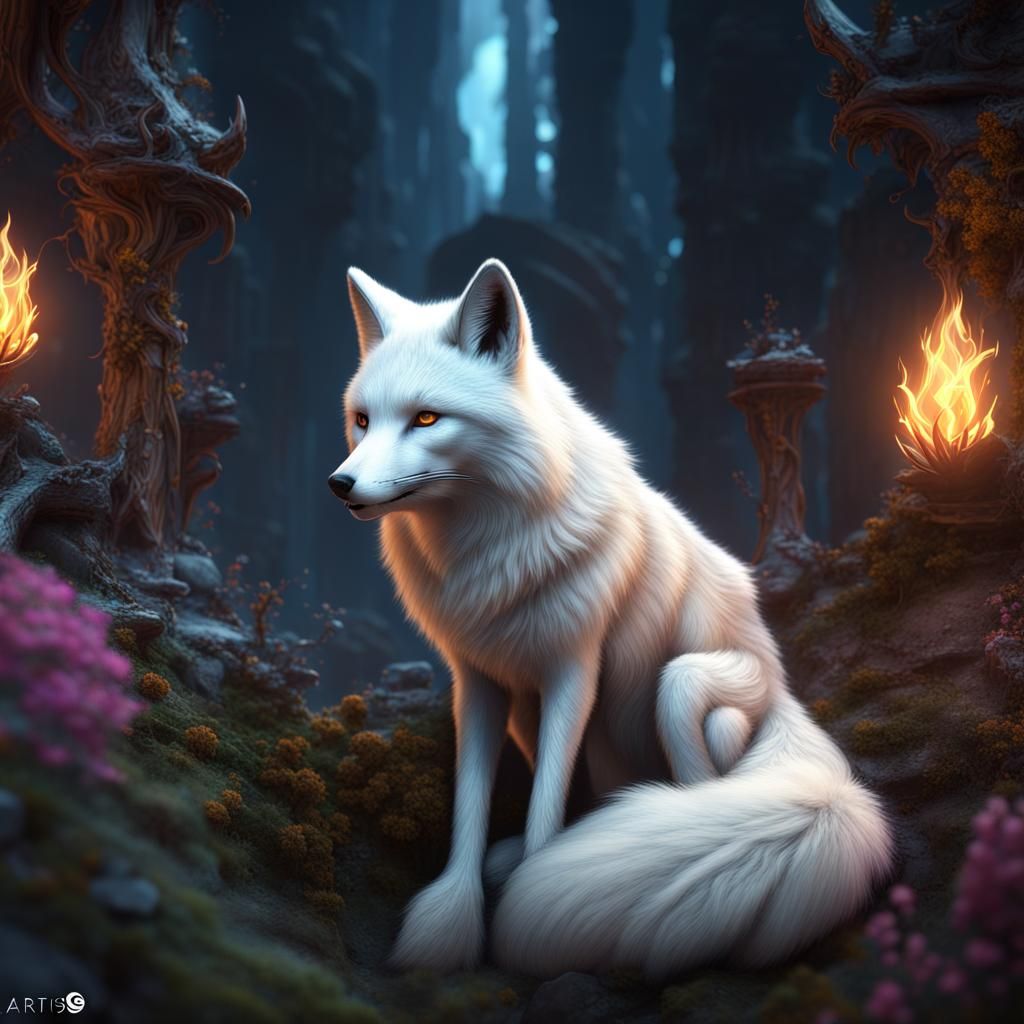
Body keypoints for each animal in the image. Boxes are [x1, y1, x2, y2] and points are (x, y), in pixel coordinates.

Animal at [328, 258, 894, 979]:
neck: (489, 549)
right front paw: (447, 929)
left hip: (687, 686)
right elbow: (471, 806)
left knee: (691, 778)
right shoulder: (478, 681)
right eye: (363, 420)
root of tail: (785, 693)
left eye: (426, 418)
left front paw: (525, 905)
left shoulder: (574, 671)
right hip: (536, 714)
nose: (339, 485)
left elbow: (545, 803)